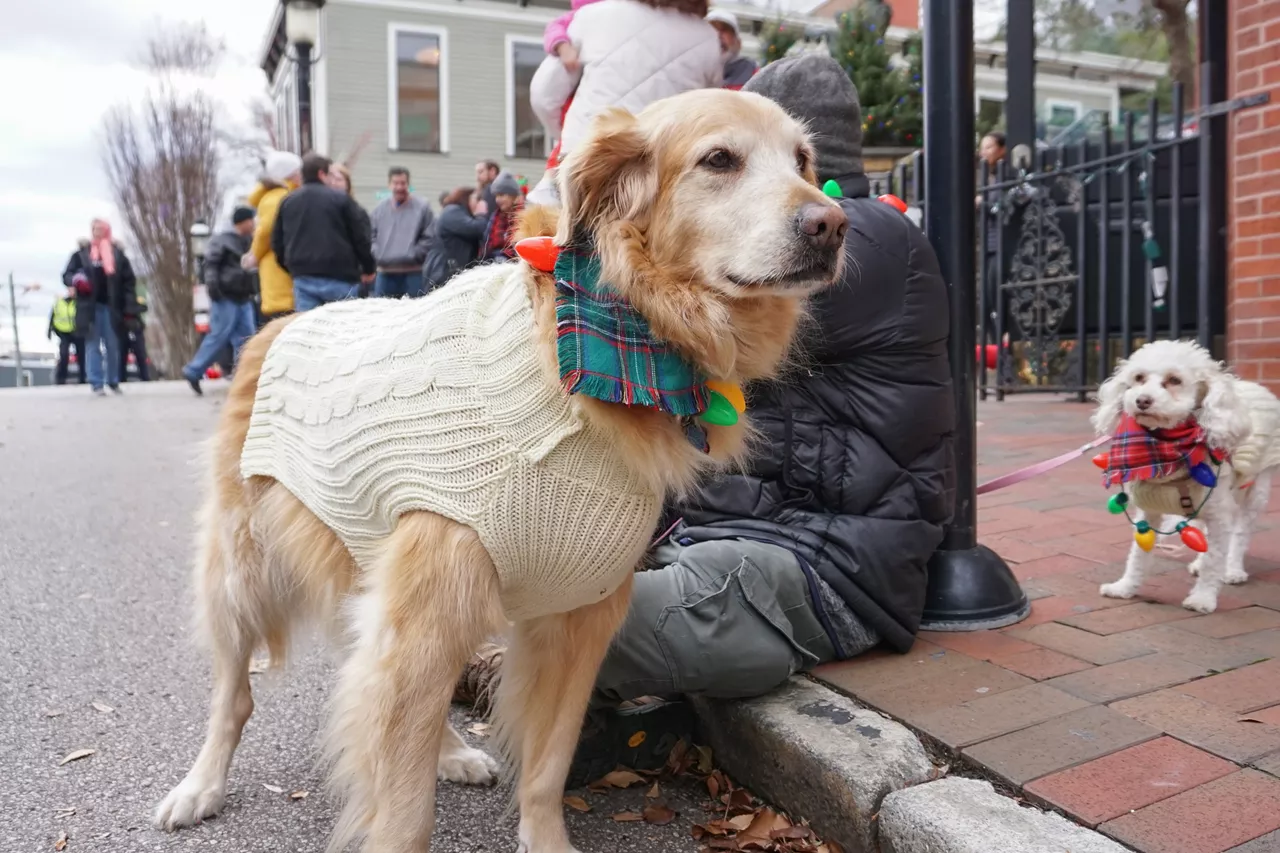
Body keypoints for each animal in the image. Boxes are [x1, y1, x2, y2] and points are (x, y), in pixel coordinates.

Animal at [152, 87, 849, 850]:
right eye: (719, 159)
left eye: (803, 160)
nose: (833, 224)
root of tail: (279, 323)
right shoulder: (427, 619)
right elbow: (404, 810)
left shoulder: (580, 618)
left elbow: (546, 764)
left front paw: (544, 836)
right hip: (242, 576)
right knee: (236, 697)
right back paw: (199, 787)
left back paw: (452, 752)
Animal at [1090, 338, 1280, 612]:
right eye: (1138, 378)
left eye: (1174, 380)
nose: (1142, 400)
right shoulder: (1149, 511)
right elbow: (1138, 555)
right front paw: (1125, 588)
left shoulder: (1219, 511)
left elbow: (1215, 558)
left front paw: (1203, 598)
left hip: (1256, 490)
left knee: (1239, 533)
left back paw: (1232, 570)